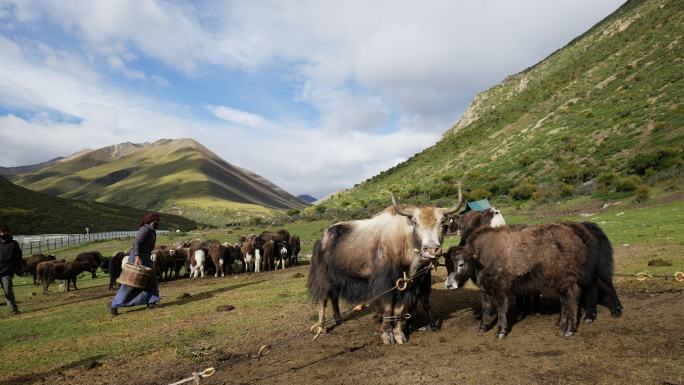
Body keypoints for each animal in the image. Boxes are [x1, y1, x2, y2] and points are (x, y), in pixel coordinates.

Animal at [308, 182, 464, 344]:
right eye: (415, 223)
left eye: (442, 222)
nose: (431, 249)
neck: (404, 243)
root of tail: (322, 237)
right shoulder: (385, 283)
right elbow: (388, 308)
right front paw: (387, 336)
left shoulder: (409, 283)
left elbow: (400, 309)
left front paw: (399, 335)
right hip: (323, 276)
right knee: (323, 299)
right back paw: (322, 328)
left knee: (333, 296)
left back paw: (338, 320)